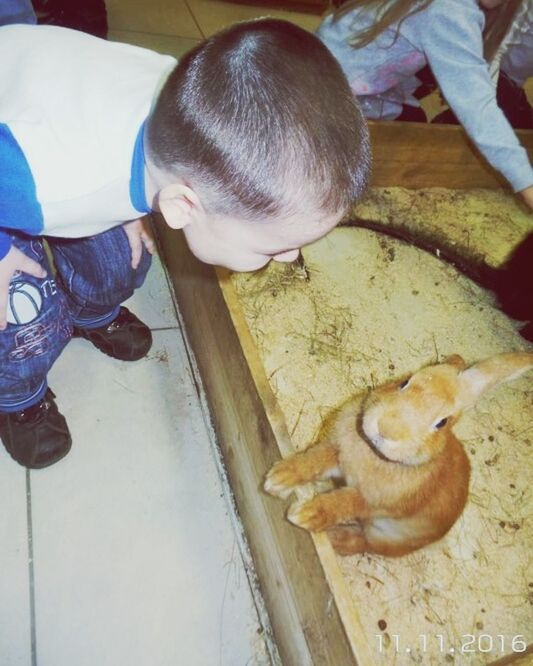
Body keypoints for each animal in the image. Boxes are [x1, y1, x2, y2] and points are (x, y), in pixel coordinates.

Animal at [264, 352, 532, 556]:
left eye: (442, 422)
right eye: (405, 382)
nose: (387, 428)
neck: (374, 453)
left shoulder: (375, 503)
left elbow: (344, 502)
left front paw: (304, 514)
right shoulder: (338, 455)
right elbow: (314, 460)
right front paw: (278, 478)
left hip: (385, 535)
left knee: (363, 543)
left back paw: (333, 538)